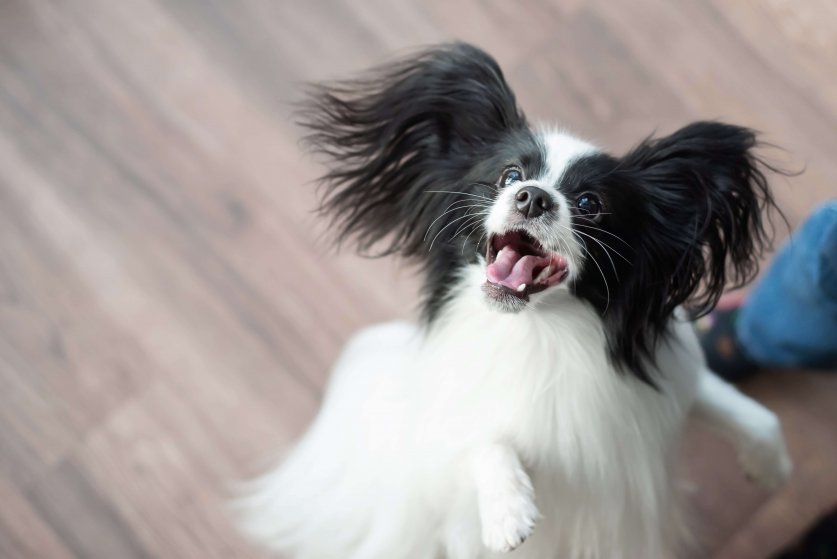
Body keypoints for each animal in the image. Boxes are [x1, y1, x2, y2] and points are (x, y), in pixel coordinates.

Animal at [240, 42, 792, 559]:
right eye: (510, 176)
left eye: (590, 203)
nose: (532, 196)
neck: (539, 328)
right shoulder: (464, 426)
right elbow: (484, 440)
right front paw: (507, 513)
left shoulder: (659, 385)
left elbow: (742, 408)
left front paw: (772, 465)